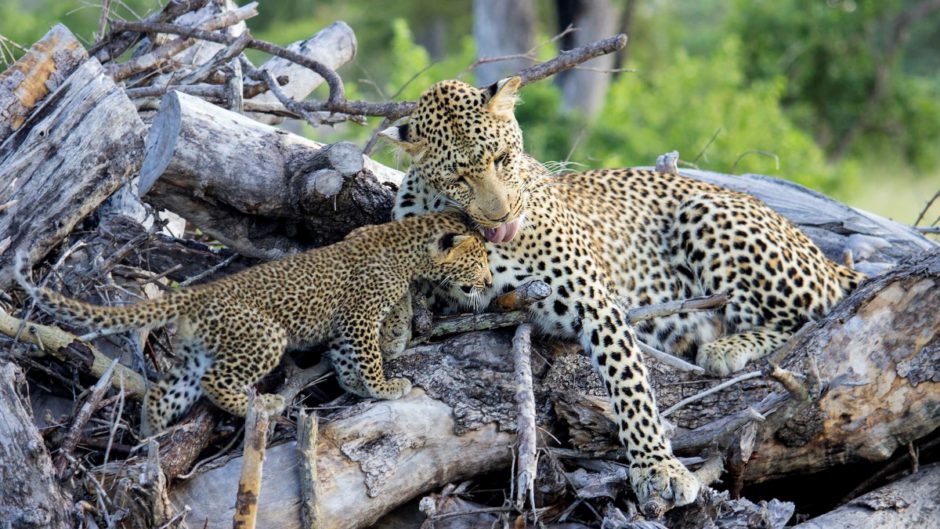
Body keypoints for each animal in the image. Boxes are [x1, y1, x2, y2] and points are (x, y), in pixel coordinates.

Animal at [378, 76, 864, 512]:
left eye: (502, 158)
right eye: (458, 177)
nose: (502, 214)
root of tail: (820, 253)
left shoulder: (596, 301)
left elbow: (629, 384)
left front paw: (658, 468)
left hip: (707, 214)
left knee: (813, 315)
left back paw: (727, 348)